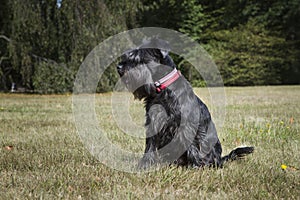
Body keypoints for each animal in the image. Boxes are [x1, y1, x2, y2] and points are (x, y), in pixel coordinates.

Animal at [117, 39, 253, 169]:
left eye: (138, 58)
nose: (118, 66)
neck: (163, 90)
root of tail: (221, 159)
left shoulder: (186, 125)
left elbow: (191, 146)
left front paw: (195, 166)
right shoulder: (153, 122)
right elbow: (149, 146)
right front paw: (144, 166)